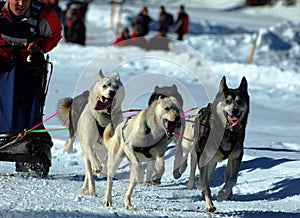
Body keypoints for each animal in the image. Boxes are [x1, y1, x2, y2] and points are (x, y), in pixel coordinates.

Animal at [179, 76, 250, 213]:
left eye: (239, 102)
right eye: (227, 101)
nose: (235, 110)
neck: (227, 131)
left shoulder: (236, 157)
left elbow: (233, 178)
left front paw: (223, 194)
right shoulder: (203, 156)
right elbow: (204, 183)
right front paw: (207, 199)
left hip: (213, 161)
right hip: (195, 150)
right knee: (192, 170)